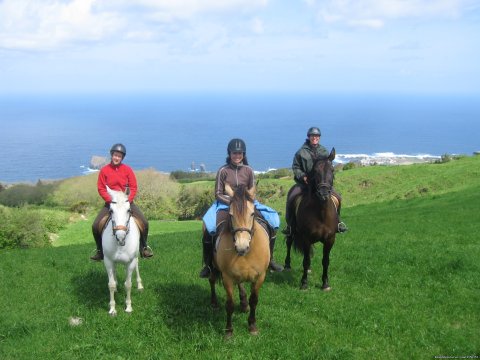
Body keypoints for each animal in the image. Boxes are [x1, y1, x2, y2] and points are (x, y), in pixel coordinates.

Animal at [102, 187, 143, 316]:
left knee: (137, 267)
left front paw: (128, 307)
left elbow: (128, 284)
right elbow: (110, 284)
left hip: (135, 258)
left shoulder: (130, 262)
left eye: (128, 210)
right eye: (111, 211)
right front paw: (112, 309)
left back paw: (140, 285)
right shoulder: (108, 261)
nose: (120, 236)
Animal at [209, 184, 272, 338]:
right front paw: (229, 331)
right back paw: (214, 303)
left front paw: (252, 326)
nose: (241, 246)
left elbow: (254, 300)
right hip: (213, 266)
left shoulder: (260, 277)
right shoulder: (227, 278)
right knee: (212, 279)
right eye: (231, 215)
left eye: (252, 214)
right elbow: (230, 304)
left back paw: (244, 304)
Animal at [284, 148, 338, 292]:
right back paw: (287, 265)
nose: (323, 193)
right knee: (289, 243)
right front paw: (304, 283)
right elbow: (306, 260)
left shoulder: (330, 239)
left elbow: (325, 261)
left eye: (332, 170)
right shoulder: (306, 238)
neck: (321, 213)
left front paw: (325, 283)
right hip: (291, 230)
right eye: (315, 171)